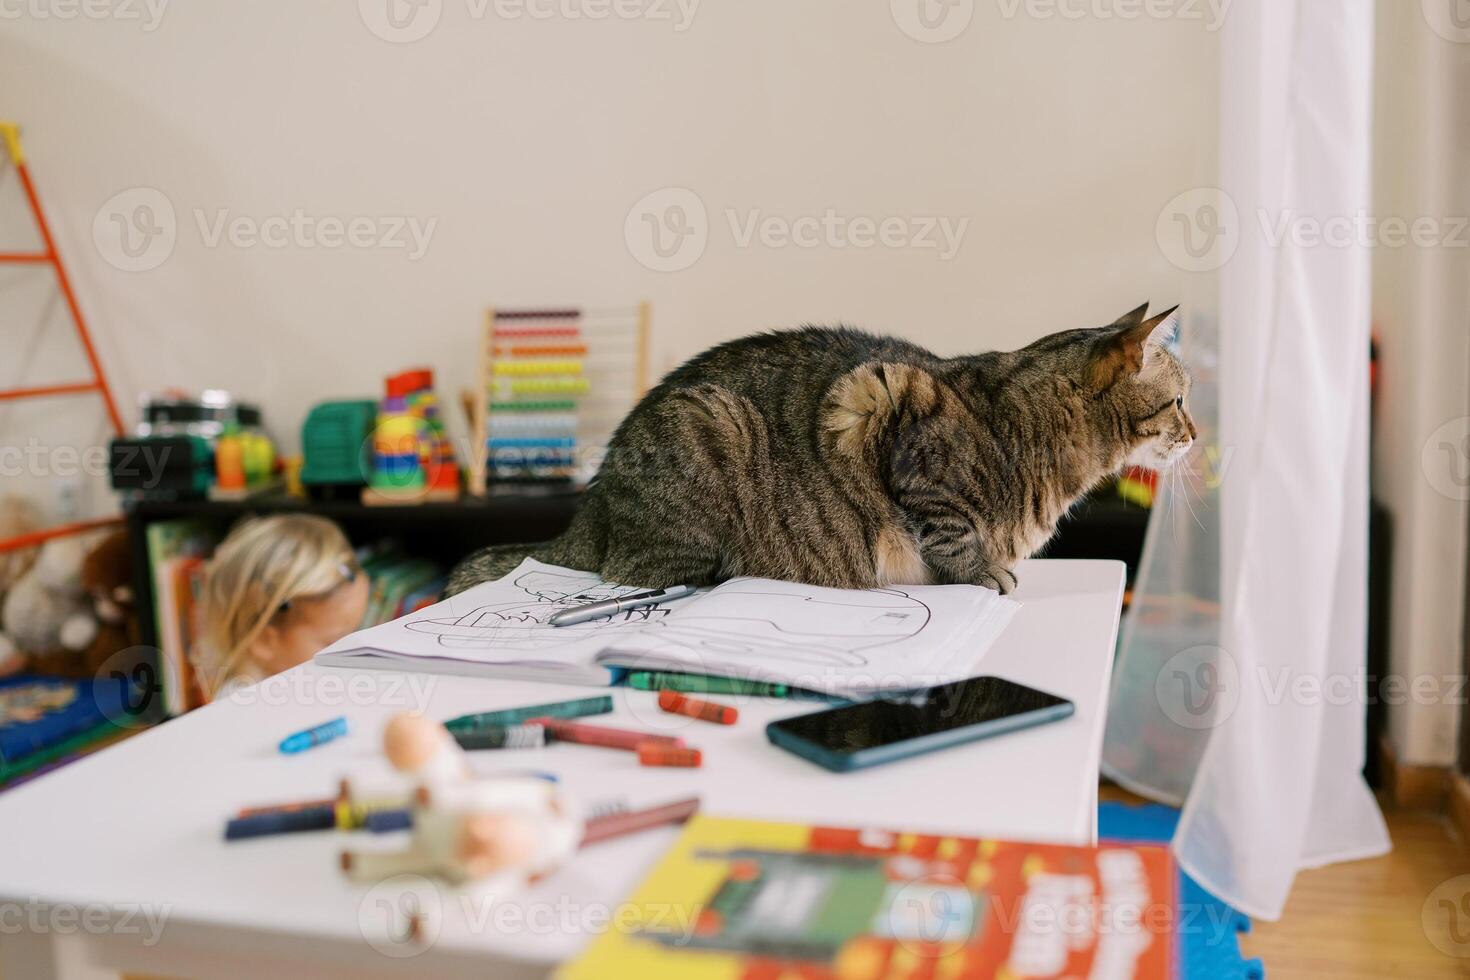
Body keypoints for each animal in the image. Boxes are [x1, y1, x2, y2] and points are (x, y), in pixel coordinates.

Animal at [446, 304, 1193, 599]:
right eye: (1182, 400)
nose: (1200, 435)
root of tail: (587, 512)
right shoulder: (880, 403)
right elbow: (950, 532)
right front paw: (984, 571)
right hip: (706, 425)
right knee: (635, 572)